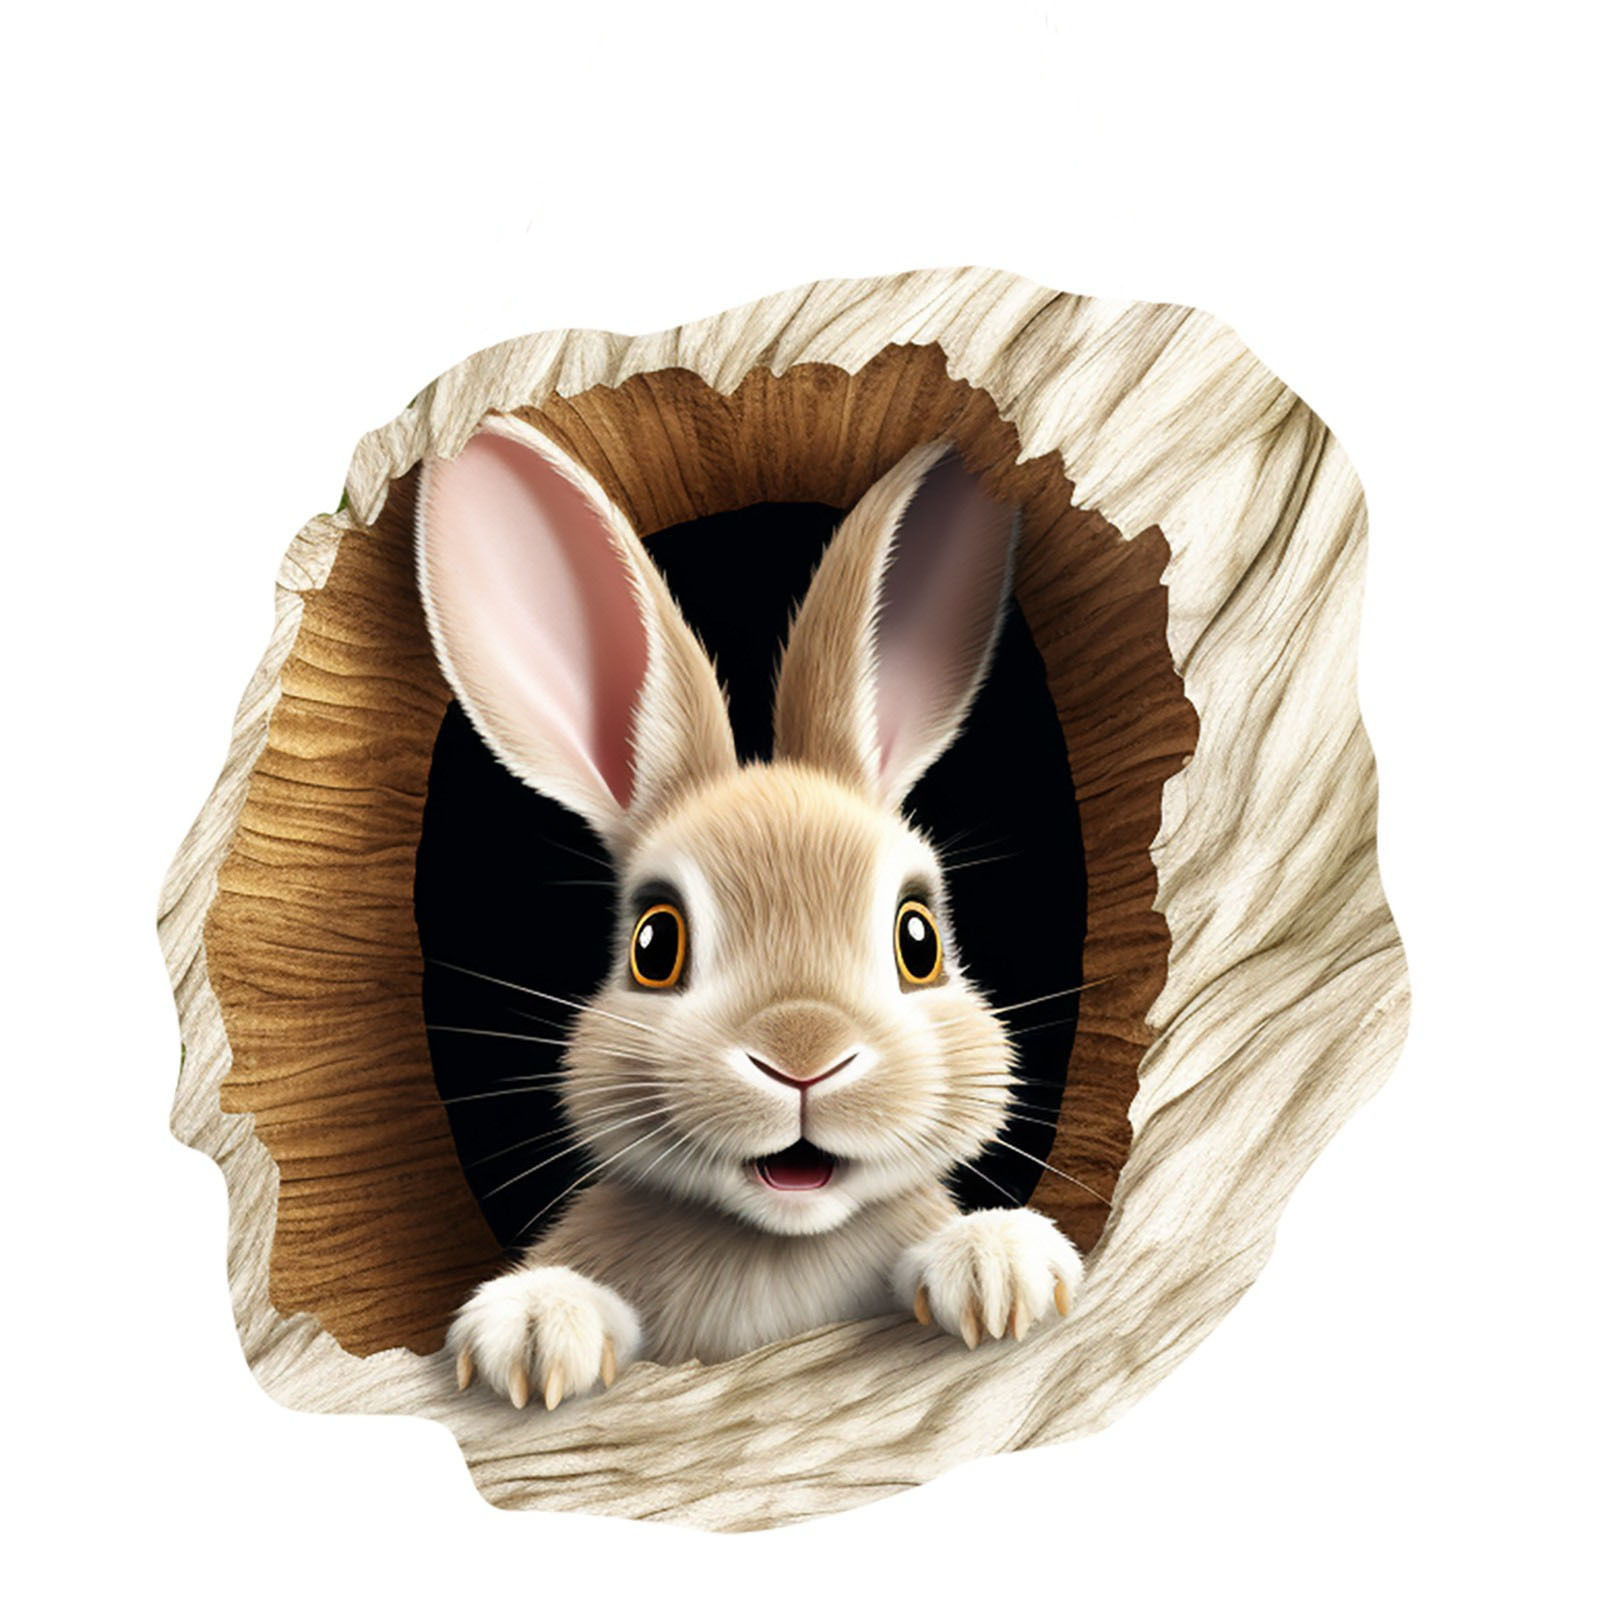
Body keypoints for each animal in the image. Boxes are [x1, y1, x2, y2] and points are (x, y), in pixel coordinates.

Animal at [416, 414, 1085, 1410]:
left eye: (918, 939)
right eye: (656, 943)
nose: (803, 1059)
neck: (779, 1238)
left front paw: (998, 1266)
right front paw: (533, 1332)